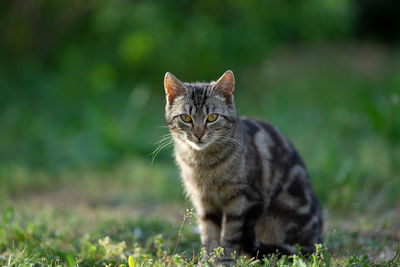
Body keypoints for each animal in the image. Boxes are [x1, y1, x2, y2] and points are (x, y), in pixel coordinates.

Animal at [162, 70, 322, 264]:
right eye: (186, 118)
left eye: (212, 117)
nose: (198, 134)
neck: (204, 164)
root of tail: (316, 239)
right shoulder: (204, 203)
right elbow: (209, 234)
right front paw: (207, 260)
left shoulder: (242, 201)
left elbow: (231, 235)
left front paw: (225, 260)